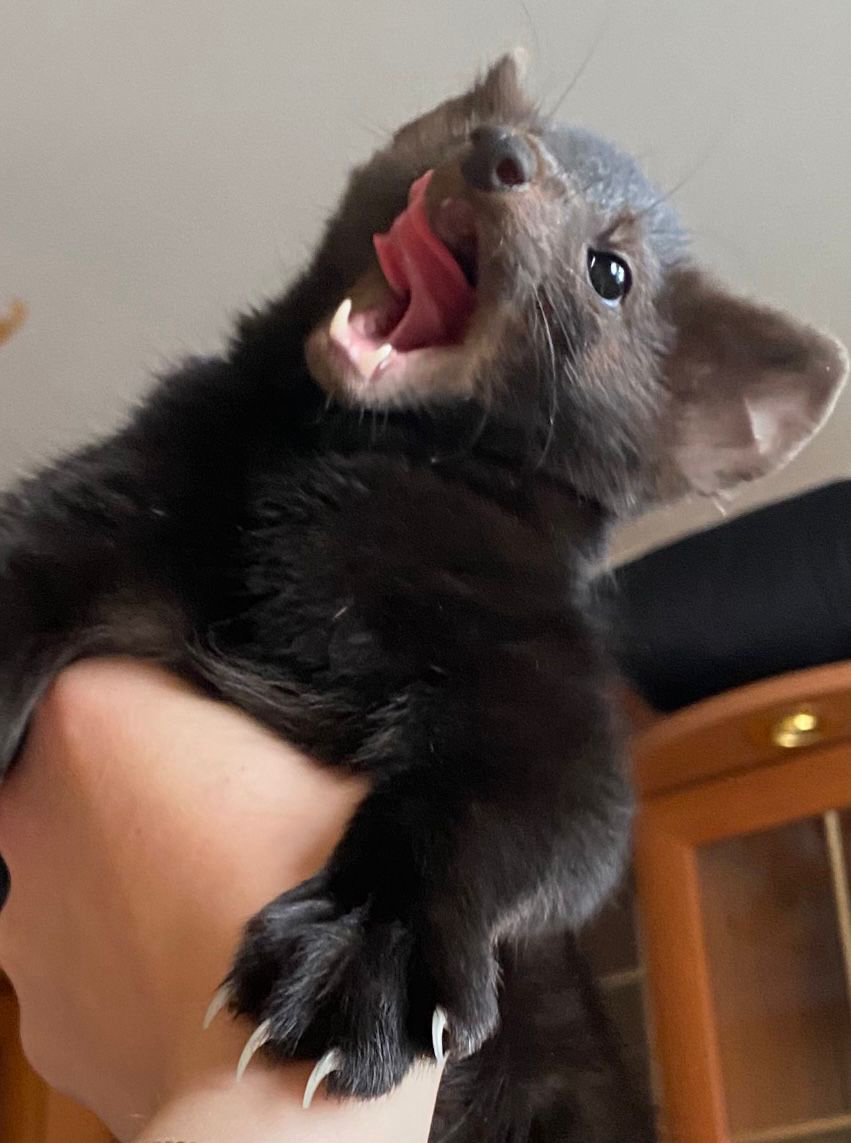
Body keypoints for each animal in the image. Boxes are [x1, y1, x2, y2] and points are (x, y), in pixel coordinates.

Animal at [0, 52, 845, 1139]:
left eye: (609, 271)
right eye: (474, 124)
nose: (499, 156)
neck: (320, 512)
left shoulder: (544, 682)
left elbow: (516, 814)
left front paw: (366, 963)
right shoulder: (119, 489)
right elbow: (27, 563)